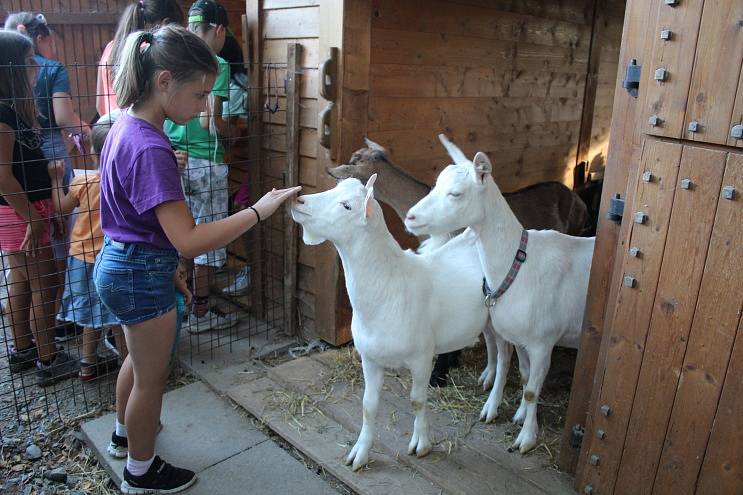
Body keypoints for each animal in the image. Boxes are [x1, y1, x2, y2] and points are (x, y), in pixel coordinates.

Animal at [290, 176, 506, 470]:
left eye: (347, 206)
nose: (299, 200)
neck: (390, 283)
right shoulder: (369, 358)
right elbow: (368, 405)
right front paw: (359, 453)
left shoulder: (422, 357)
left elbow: (417, 400)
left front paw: (421, 444)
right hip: (486, 317)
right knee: (491, 341)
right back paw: (488, 375)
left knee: (507, 356)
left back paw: (495, 405)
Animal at [404, 136, 596, 454]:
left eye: (456, 193)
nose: (410, 217)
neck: (519, 262)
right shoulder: (519, 337)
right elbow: (525, 376)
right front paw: (516, 415)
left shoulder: (544, 342)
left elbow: (532, 390)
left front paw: (527, 438)